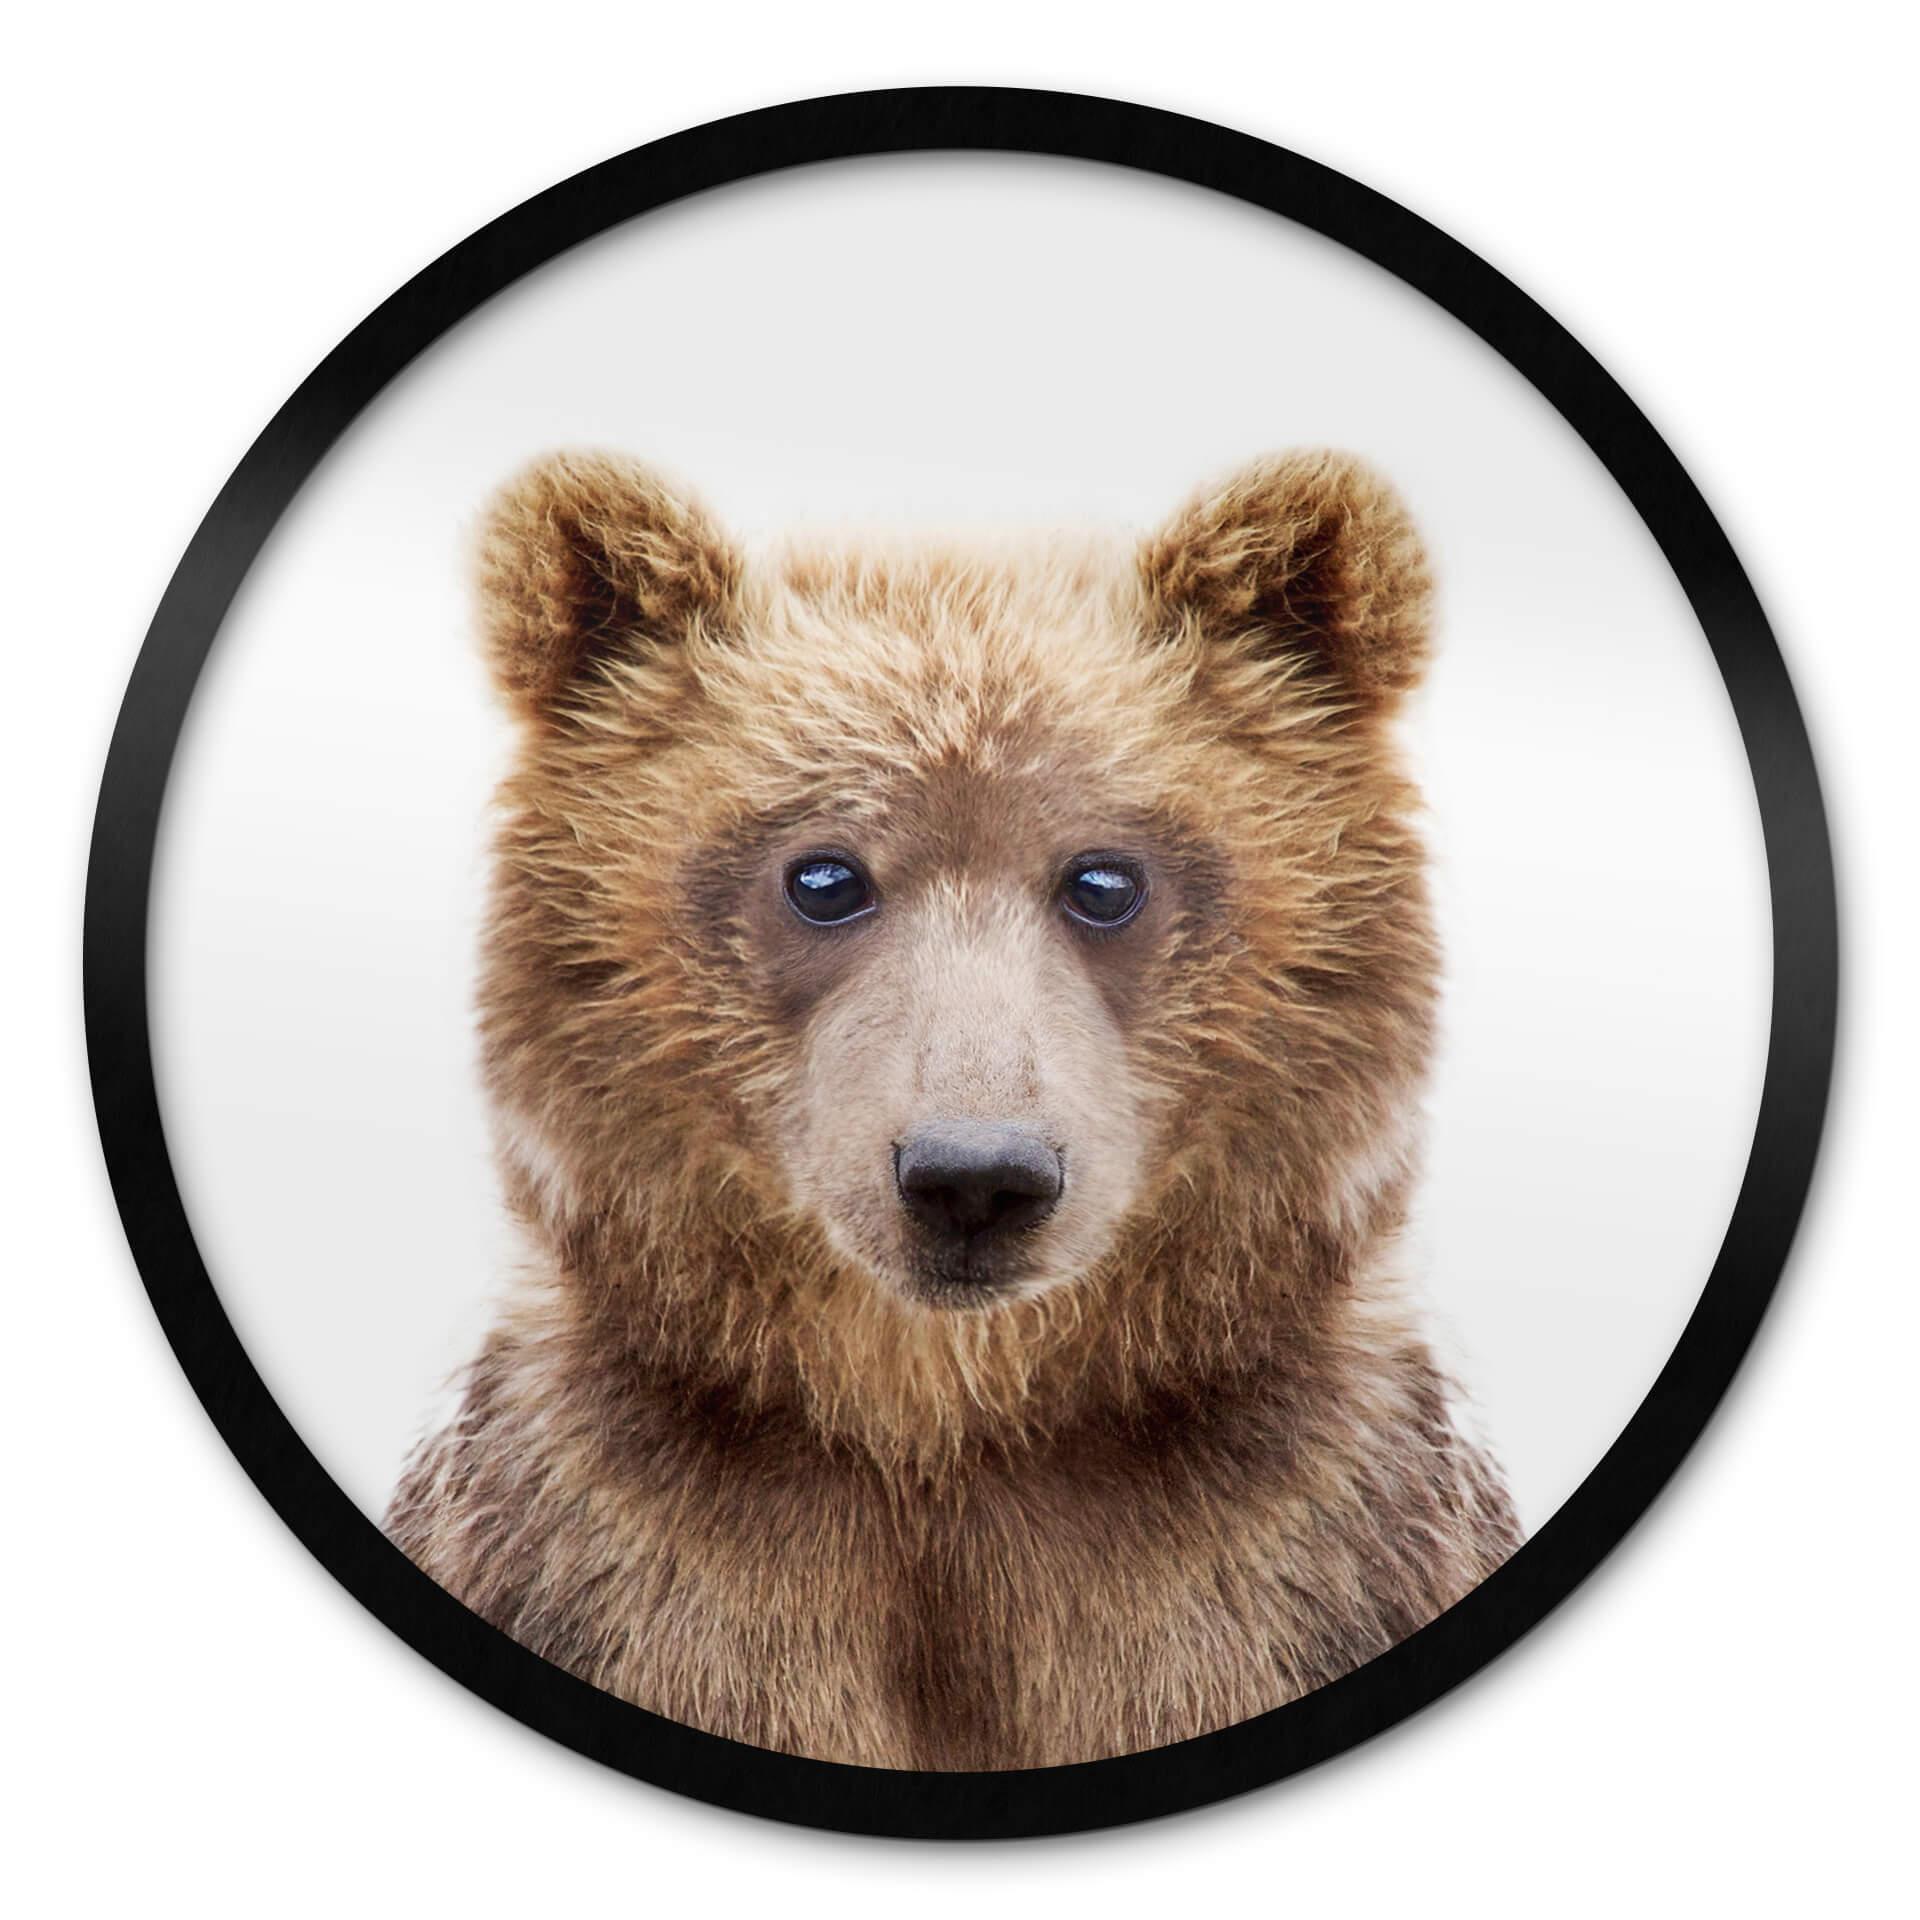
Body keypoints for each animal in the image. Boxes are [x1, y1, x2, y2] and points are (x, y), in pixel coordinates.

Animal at [386, 448, 1522, 1770]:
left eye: (1105, 878)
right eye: (824, 875)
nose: (973, 1178)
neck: (947, 1435)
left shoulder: (1292, 1563)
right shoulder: (622, 1564)